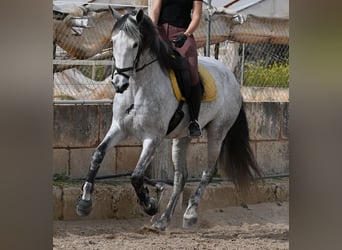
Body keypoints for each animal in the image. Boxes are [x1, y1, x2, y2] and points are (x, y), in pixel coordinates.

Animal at [75, 8, 262, 231]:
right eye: (113, 41)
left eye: (135, 44)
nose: (119, 84)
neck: (137, 88)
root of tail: (230, 75)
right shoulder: (119, 128)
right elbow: (98, 155)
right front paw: (84, 202)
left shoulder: (153, 138)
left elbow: (136, 175)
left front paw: (149, 204)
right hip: (182, 137)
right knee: (181, 177)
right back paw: (163, 220)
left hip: (218, 131)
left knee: (208, 171)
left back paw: (189, 214)